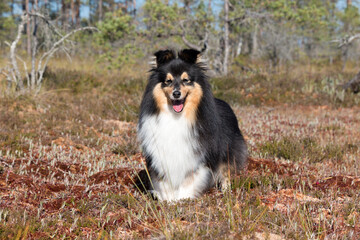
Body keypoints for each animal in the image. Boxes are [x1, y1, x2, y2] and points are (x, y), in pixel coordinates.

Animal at [138, 48, 248, 201]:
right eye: (168, 81)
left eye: (186, 80)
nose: (176, 93)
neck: (177, 117)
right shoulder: (161, 154)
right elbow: (165, 182)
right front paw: (168, 200)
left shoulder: (197, 155)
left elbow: (190, 180)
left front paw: (183, 200)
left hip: (228, 150)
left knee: (226, 172)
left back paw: (225, 192)